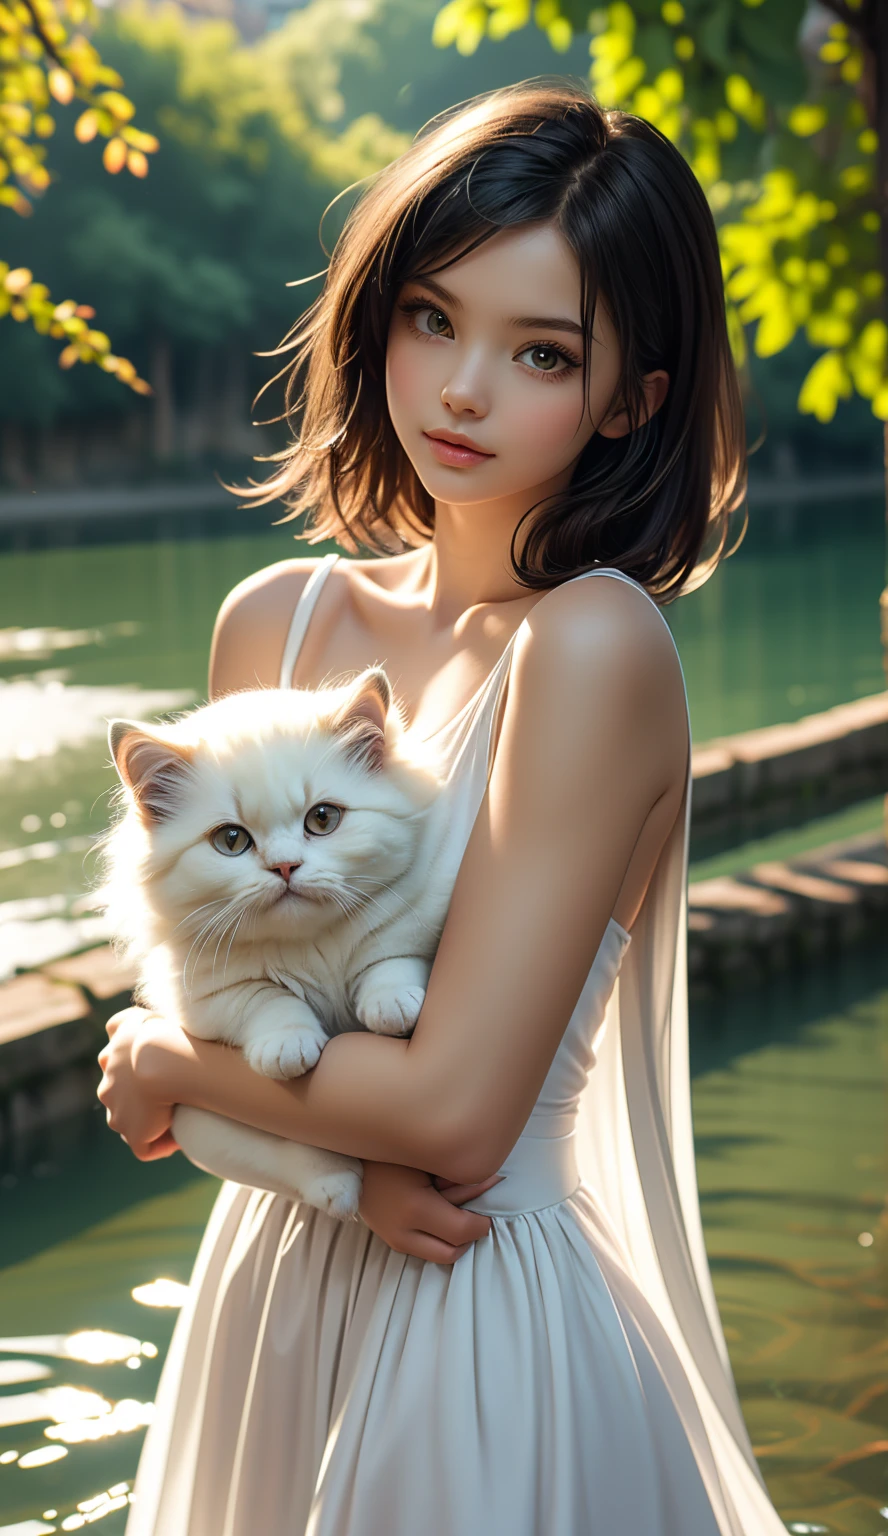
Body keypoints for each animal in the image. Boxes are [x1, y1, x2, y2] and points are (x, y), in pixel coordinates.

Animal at [99, 666, 451, 1216]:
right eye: (231, 841)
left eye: (323, 819)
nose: (286, 867)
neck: (310, 944)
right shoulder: (204, 999)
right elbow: (267, 999)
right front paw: (289, 1049)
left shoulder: (414, 926)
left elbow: (388, 959)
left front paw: (391, 1007)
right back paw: (338, 1189)